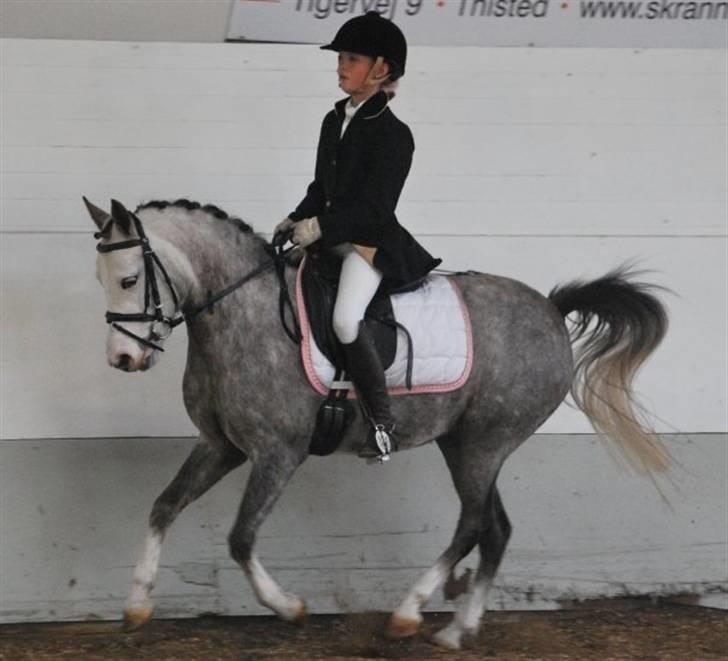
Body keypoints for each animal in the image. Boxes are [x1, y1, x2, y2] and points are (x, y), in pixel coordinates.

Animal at [84, 196, 670, 650]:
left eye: (130, 278)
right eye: (100, 280)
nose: (121, 359)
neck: (242, 314)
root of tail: (551, 309)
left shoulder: (277, 453)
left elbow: (241, 537)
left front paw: (290, 607)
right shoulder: (220, 444)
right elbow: (163, 507)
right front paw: (137, 605)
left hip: (486, 442)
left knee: (472, 524)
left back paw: (408, 615)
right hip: (464, 442)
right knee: (495, 528)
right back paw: (456, 632)